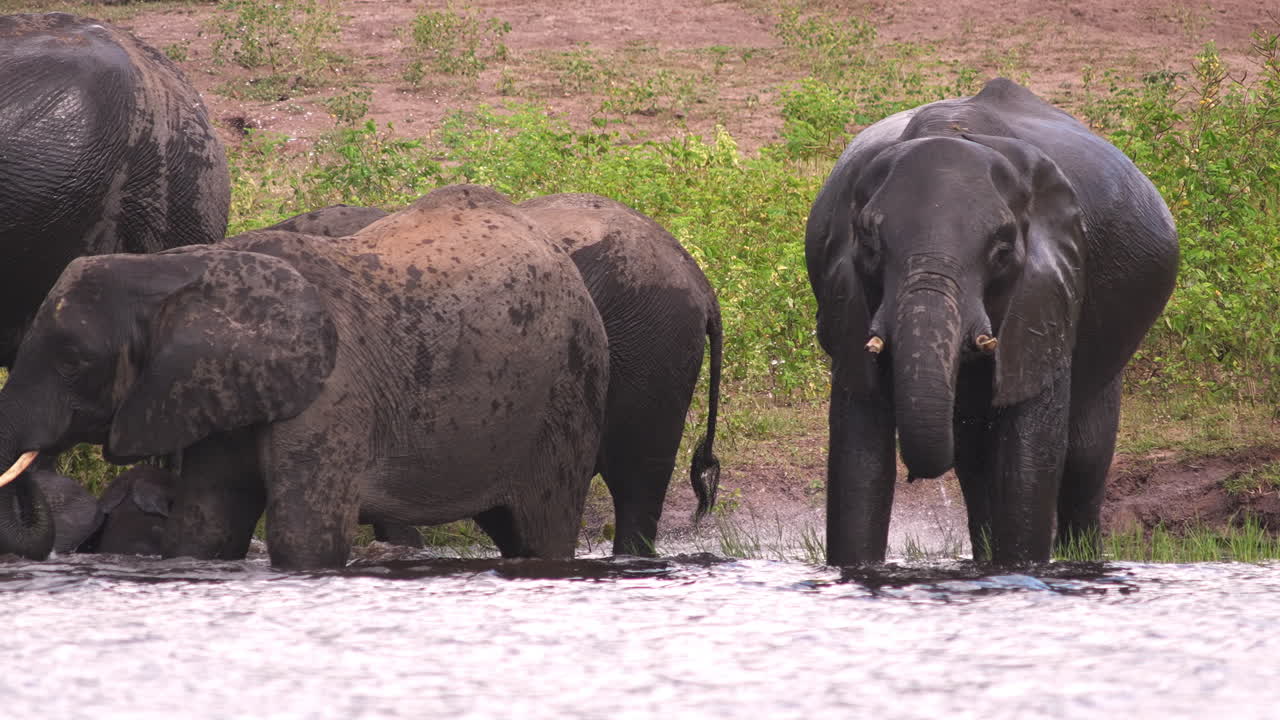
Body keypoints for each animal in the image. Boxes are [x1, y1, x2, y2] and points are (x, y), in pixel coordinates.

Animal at [0, 184, 609, 569]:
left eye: (73, 361)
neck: (180, 269)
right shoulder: (214, 387)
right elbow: (205, 528)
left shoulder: (334, 396)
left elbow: (306, 539)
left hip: (569, 391)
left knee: (543, 529)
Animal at [806, 78, 1178, 565]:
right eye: (869, 245)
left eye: (1002, 251)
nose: (916, 476)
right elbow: (858, 453)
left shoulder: (1050, 290)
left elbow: (1029, 454)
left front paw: (1021, 569)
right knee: (976, 462)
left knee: (1084, 456)